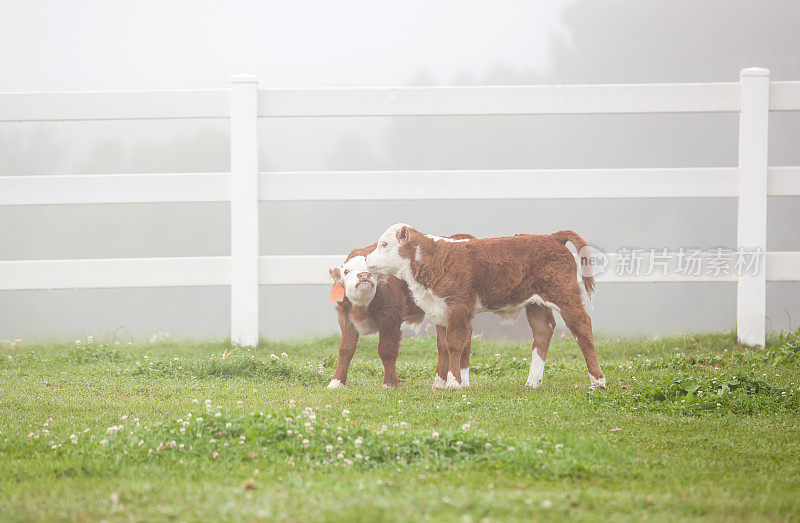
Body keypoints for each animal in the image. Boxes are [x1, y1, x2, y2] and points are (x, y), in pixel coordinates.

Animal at [328, 237, 472, 388]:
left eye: (372, 270)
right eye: (346, 271)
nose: (364, 275)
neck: (362, 306)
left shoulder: (391, 317)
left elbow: (387, 350)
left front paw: (389, 383)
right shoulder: (345, 317)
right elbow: (345, 350)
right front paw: (336, 382)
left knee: (463, 342)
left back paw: (462, 381)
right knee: (446, 344)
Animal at [364, 223, 608, 390]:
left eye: (384, 244)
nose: (366, 260)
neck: (433, 259)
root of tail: (552, 237)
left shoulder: (458, 307)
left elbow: (454, 345)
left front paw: (453, 383)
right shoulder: (440, 311)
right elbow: (443, 347)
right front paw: (439, 384)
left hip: (565, 294)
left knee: (582, 327)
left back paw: (597, 381)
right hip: (535, 303)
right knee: (543, 331)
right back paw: (532, 382)